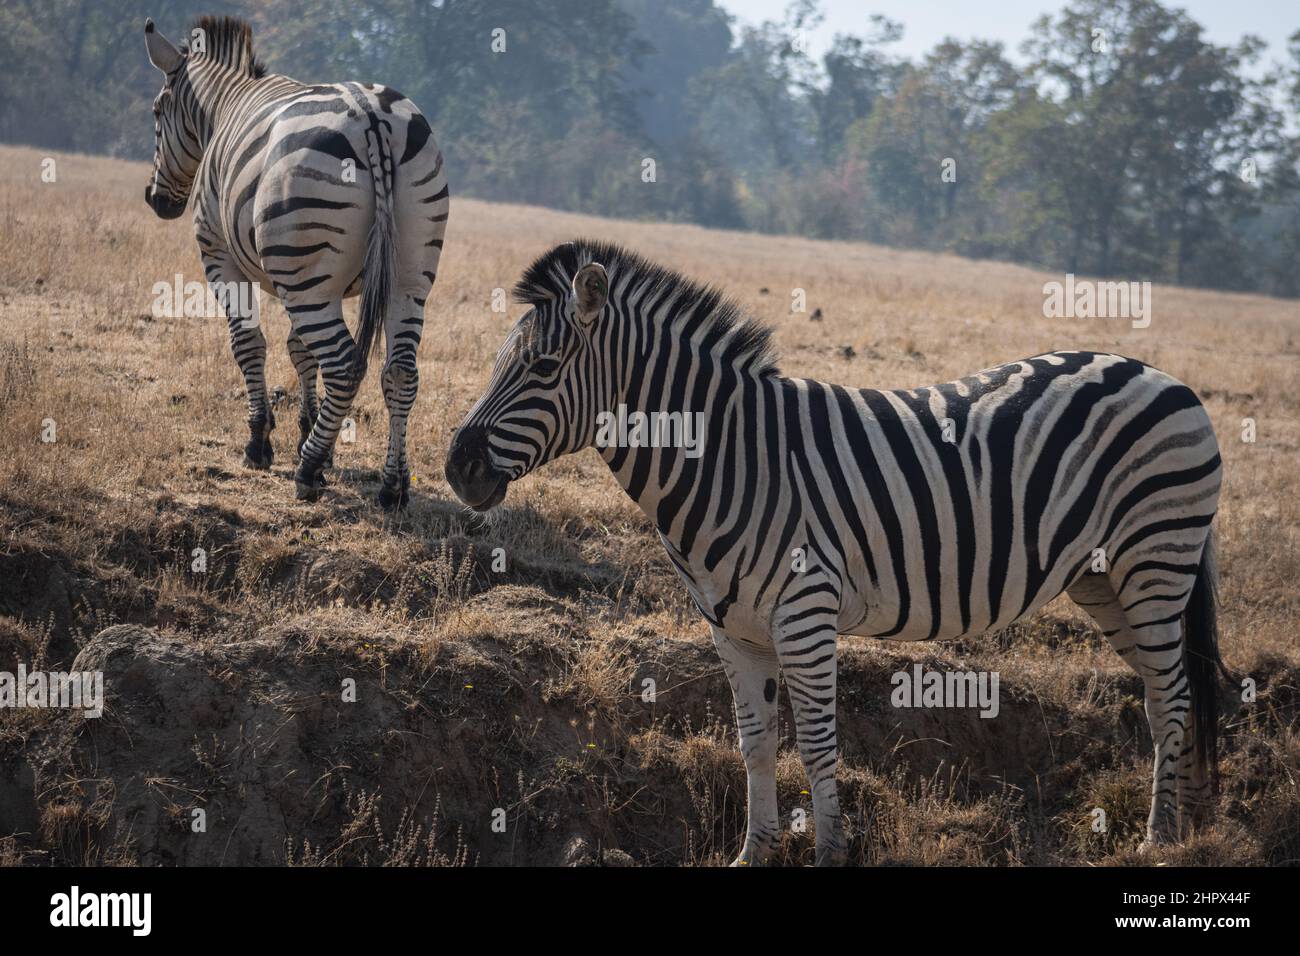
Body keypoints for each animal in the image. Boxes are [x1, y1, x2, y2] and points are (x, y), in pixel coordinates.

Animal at [143, 16, 452, 509]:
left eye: (157, 112)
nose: (156, 201)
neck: (225, 107)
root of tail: (373, 117)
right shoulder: (319, 283)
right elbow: (300, 350)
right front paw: (313, 436)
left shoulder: (222, 258)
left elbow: (250, 344)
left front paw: (263, 443)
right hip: (406, 275)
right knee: (401, 371)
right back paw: (393, 486)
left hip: (305, 271)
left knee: (345, 365)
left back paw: (306, 473)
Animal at [449, 240, 1227, 868]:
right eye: (500, 363)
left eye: (544, 366)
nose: (458, 468)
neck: (731, 459)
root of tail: (1163, 377)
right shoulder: (733, 629)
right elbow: (756, 743)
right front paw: (753, 852)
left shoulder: (805, 612)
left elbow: (819, 744)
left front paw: (828, 852)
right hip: (1104, 581)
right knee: (1166, 692)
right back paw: (1184, 824)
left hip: (1155, 560)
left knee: (1171, 696)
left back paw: (1158, 840)